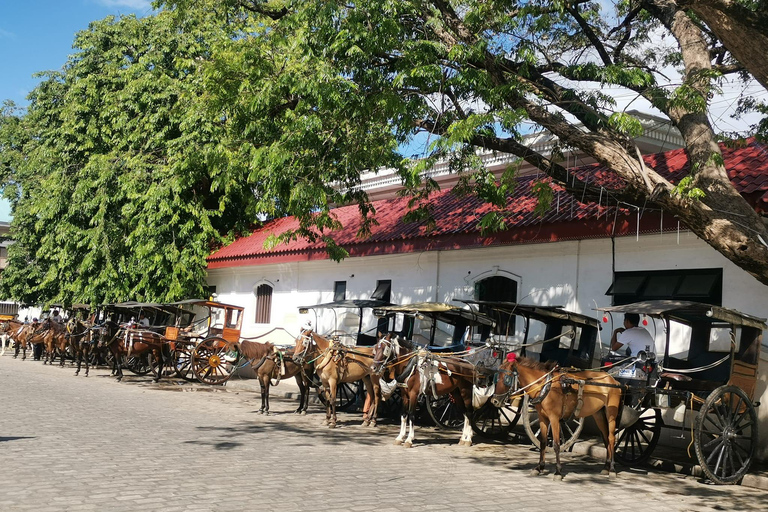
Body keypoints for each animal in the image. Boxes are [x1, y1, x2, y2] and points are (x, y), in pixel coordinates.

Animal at [492, 352, 624, 480]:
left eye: (507, 378)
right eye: (496, 377)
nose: (494, 401)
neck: (545, 385)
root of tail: (613, 380)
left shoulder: (554, 418)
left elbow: (556, 444)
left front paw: (558, 472)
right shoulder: (543, 418)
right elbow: (543, 442)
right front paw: (539, 467)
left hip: (611, 414)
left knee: (611, 439)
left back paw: (612, 469)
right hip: (599, 414)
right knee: (606, 439)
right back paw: (606, 467)